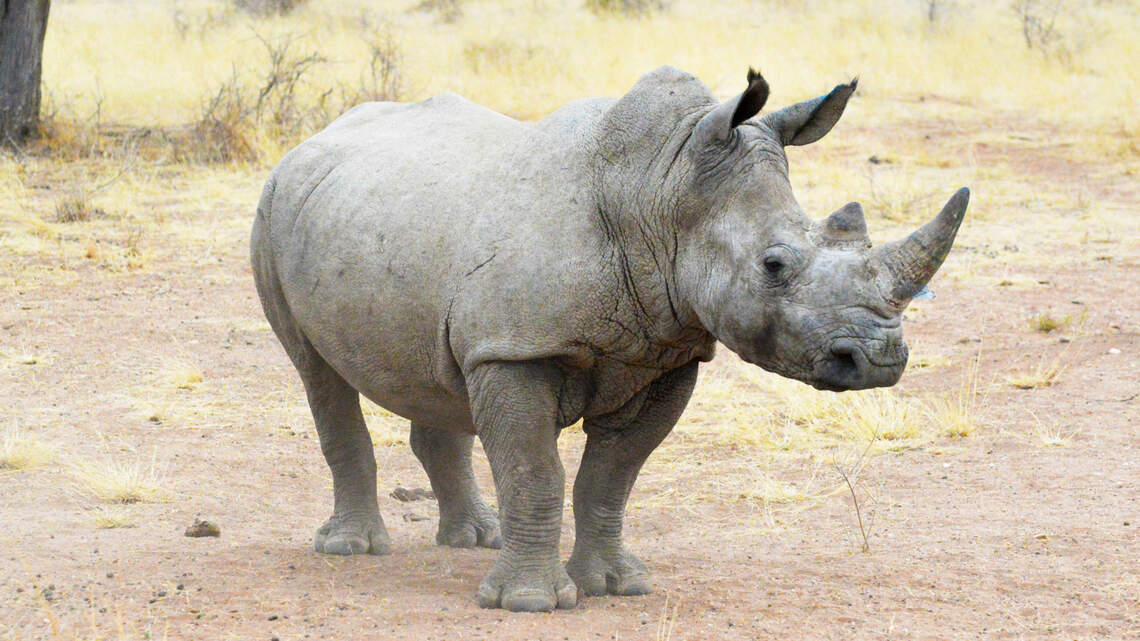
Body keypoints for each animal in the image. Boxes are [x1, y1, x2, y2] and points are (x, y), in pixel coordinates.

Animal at [251, 66, 969, 612]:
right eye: (773, 265)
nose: (880, 359)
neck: (663, 189)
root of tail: (313, 139)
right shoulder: (517, 348)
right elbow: (534, 469)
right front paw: (530, 602)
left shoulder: (664, 351)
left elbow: (613, 476)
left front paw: (617, 586)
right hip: (271, 209)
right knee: (318, 373)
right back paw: (351, 548)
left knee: (437, 372)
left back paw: (477, 538)